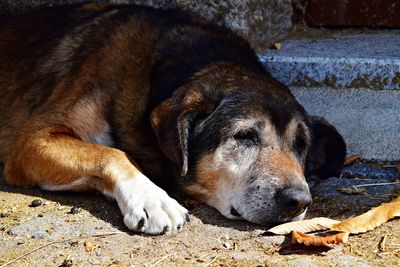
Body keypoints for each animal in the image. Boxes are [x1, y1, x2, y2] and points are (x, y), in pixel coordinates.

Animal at [0, 3, 346, 236]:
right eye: (245, 135)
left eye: (300, 145)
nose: (299, 200)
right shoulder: (32, 141)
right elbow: (110, 152)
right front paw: (151, 197)